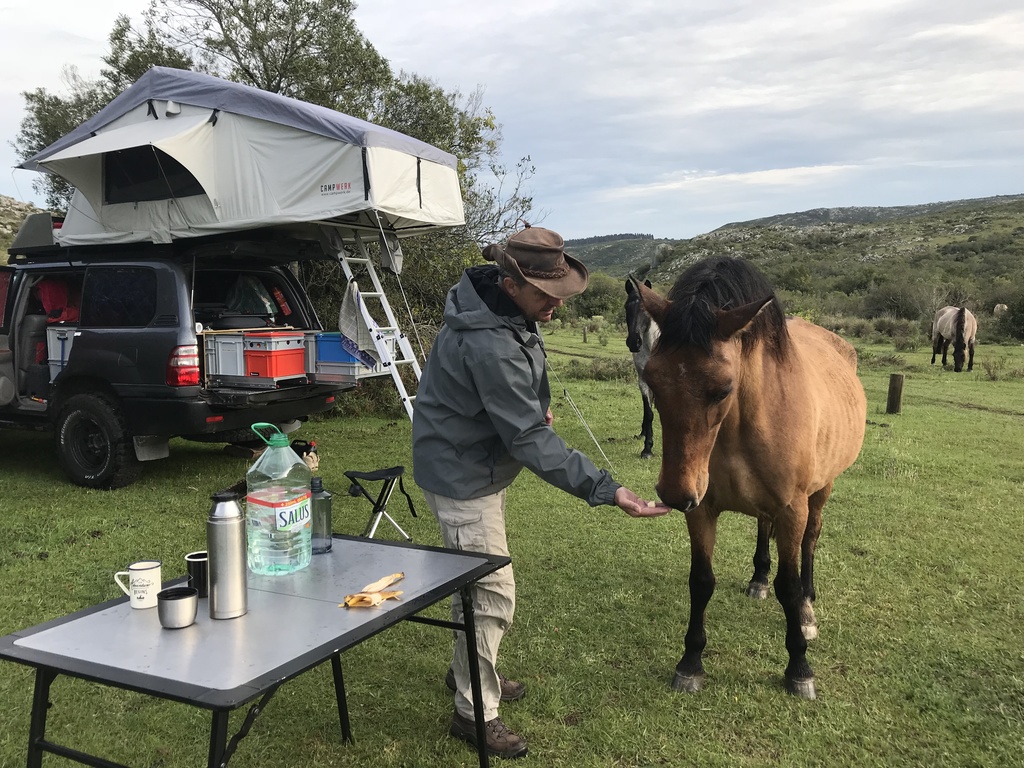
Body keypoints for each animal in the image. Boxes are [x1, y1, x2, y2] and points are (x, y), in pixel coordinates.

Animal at [634, 260, 868, 704]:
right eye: (652, 381)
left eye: (723, 388)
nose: (674, 494)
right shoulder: (701, 510)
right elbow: (701, 581)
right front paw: (690, 663)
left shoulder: (792, 508)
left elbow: (789, 586)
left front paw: (799, 668)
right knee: (763, 526)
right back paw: (758, 579)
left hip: (821, 490)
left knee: (811, 540)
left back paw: (808, 608)